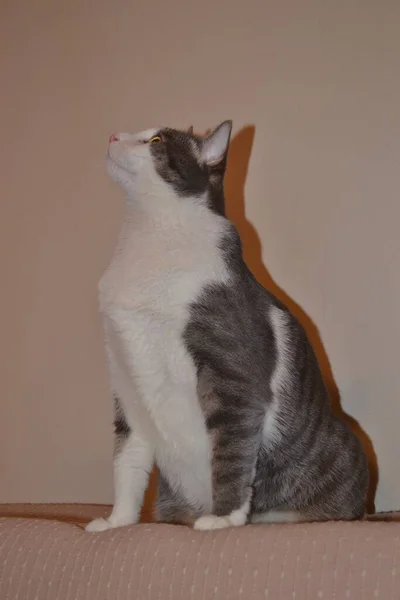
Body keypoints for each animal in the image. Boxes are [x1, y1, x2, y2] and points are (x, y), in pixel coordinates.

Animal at [86, 120, 368, 528]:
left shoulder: (234, 377)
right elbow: (127, 460)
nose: (112, 136)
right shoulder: (124, 376)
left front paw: (224, 520)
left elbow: (231, 451)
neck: (149, 236)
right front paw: (117, 523)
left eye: (155, 140)